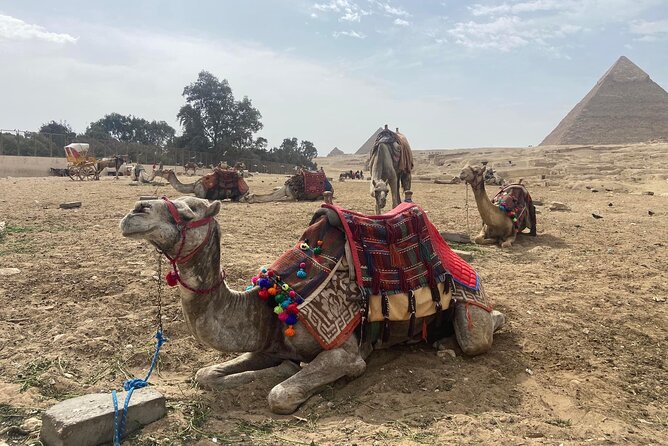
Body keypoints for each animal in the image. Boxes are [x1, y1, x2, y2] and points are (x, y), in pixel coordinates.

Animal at [120, 196, 505, 414]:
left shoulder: (344, 350)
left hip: (470, 301)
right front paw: (282, 366)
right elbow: (205, 374)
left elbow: (280, 394)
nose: (134, 212)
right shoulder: (268, 342)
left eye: (190, 211)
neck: (271, 304)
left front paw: (288, 373)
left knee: (478, 335)